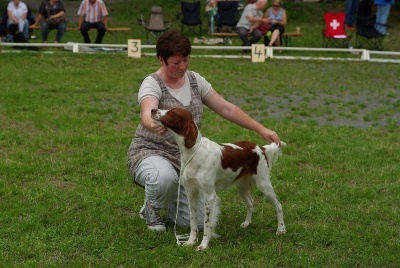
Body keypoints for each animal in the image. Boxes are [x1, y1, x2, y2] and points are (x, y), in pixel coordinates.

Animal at [152, 107, 286, 251]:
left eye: (173, 112)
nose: (152, 110)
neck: (193, 153)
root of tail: (260, 148)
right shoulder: (191, 193)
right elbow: (193, 221)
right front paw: (190, 241)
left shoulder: (210, 196)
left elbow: (206, 224)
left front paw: (203, 245)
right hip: (241, 186)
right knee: (250, 203)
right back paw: (247, 223)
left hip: (264, 184)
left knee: (278, 205)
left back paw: (281, 229)